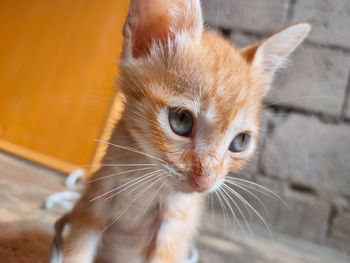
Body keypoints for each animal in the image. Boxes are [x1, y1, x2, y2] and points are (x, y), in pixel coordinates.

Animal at [51, 0, 308, 263]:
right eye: (181, 121)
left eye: (240, 141)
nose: (204, 183)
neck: (146, 178)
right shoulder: (95, 199)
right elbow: (78, 248)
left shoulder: (175, 225)